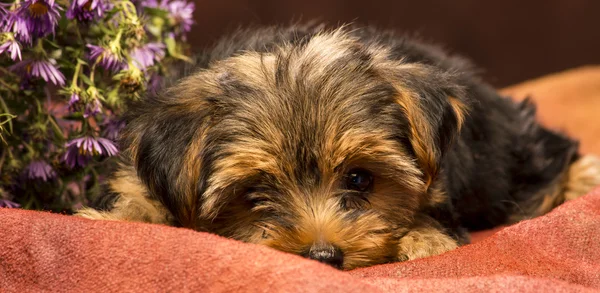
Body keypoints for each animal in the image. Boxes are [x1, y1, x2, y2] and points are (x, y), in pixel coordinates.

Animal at [78, 24, 600, 268]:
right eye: (254, 194)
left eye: (359, 179)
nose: (324, 257)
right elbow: (139, 195)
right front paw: (117, 218)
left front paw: (422, 239)